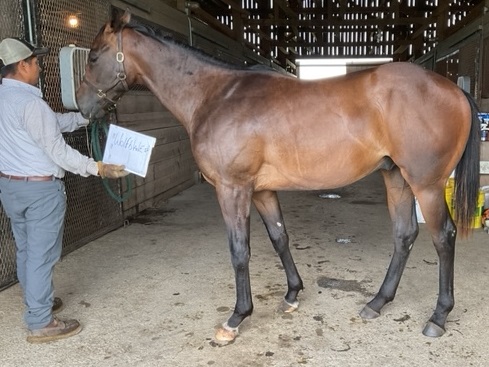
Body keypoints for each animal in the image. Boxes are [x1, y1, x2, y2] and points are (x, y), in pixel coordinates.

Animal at [76, 8, 476, 342]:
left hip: (426, 185)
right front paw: (292, 294)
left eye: (93, 56)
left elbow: (240, 250)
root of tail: (453, 90)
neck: (216, 95)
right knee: (404, 235)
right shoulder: (261, 191)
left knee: (443, 237)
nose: (80, 107)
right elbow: (279, 238)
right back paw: (378, 302)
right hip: (396, 178)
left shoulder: (232, 189)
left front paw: (237, 318)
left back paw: (438, 317)